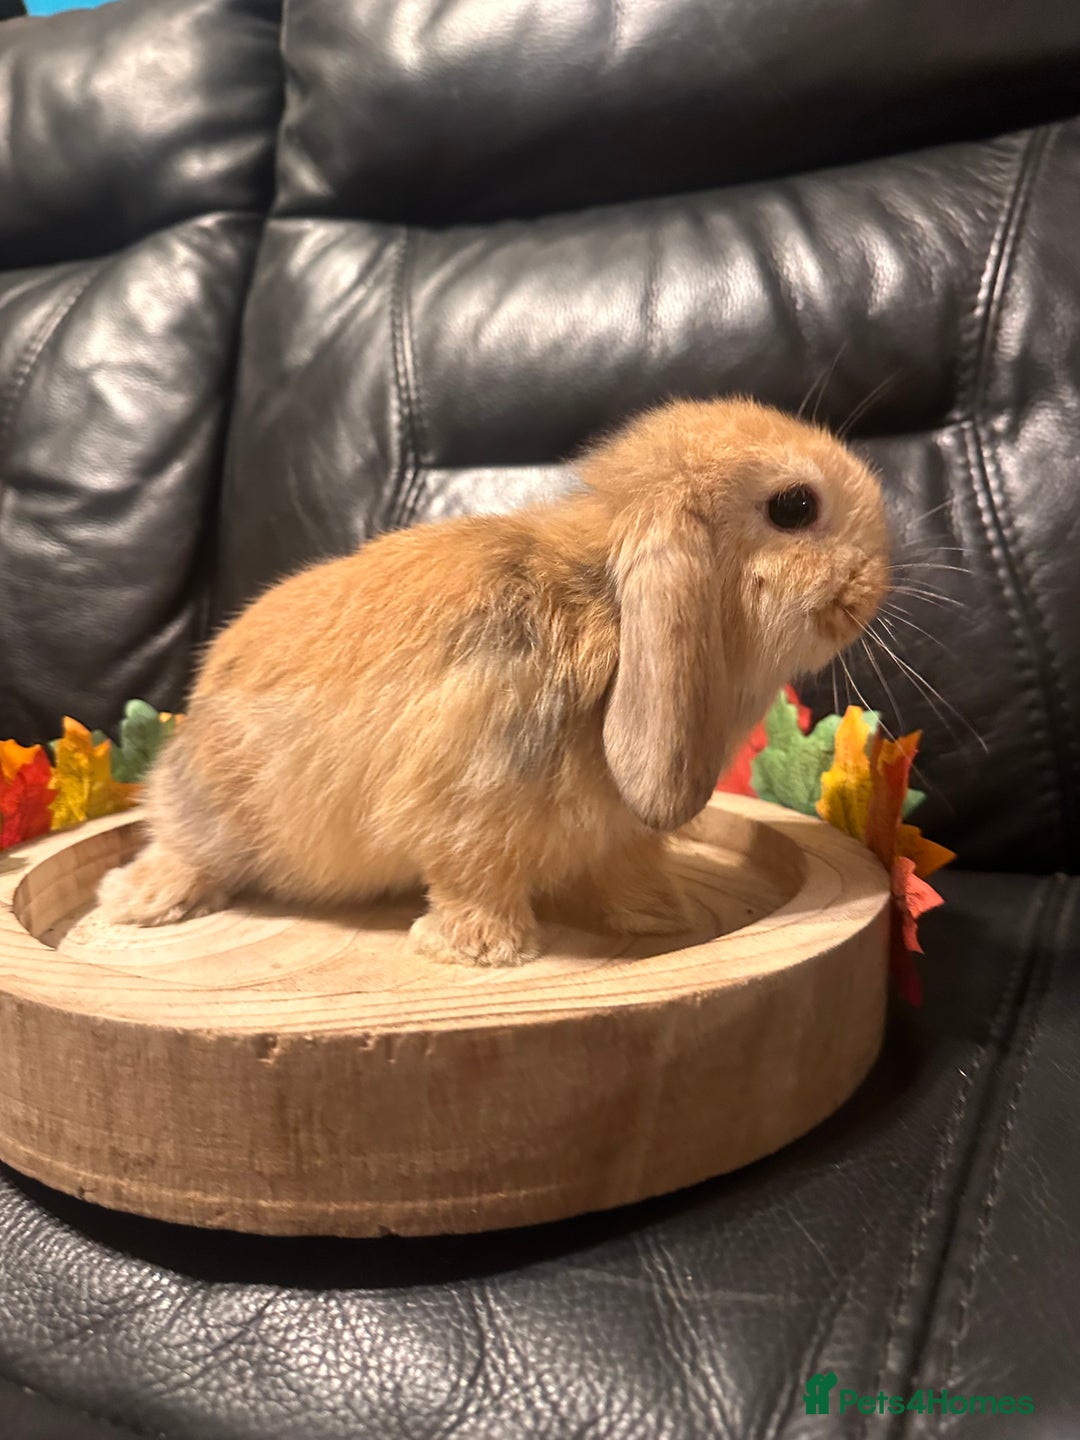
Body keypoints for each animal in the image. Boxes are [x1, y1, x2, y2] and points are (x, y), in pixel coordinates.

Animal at [97, 397, 889, 966]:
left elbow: (629, 870)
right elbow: (473, 878)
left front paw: (661, 919)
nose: (878, 579)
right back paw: (138, 901)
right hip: (212, 810)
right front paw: (484, 951)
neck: (604, 606)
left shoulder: (622, 834)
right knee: (180, 847)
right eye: (794, 506)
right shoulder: (468, 808)